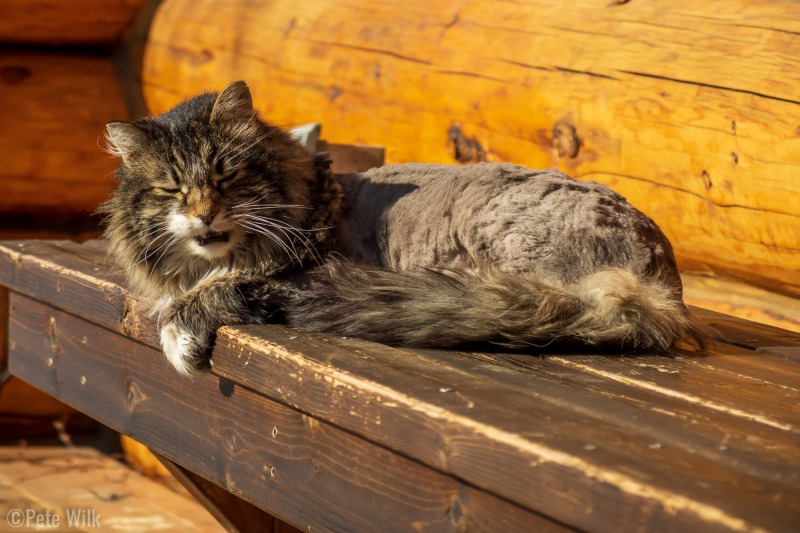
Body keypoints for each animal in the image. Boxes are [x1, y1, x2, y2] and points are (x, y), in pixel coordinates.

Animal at [101, 81, 708, 376]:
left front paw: (179, 336)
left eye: (225, 176)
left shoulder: (296, 269)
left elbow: (212, 292)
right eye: (172, 190)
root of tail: (661, 287)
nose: (203, 213)